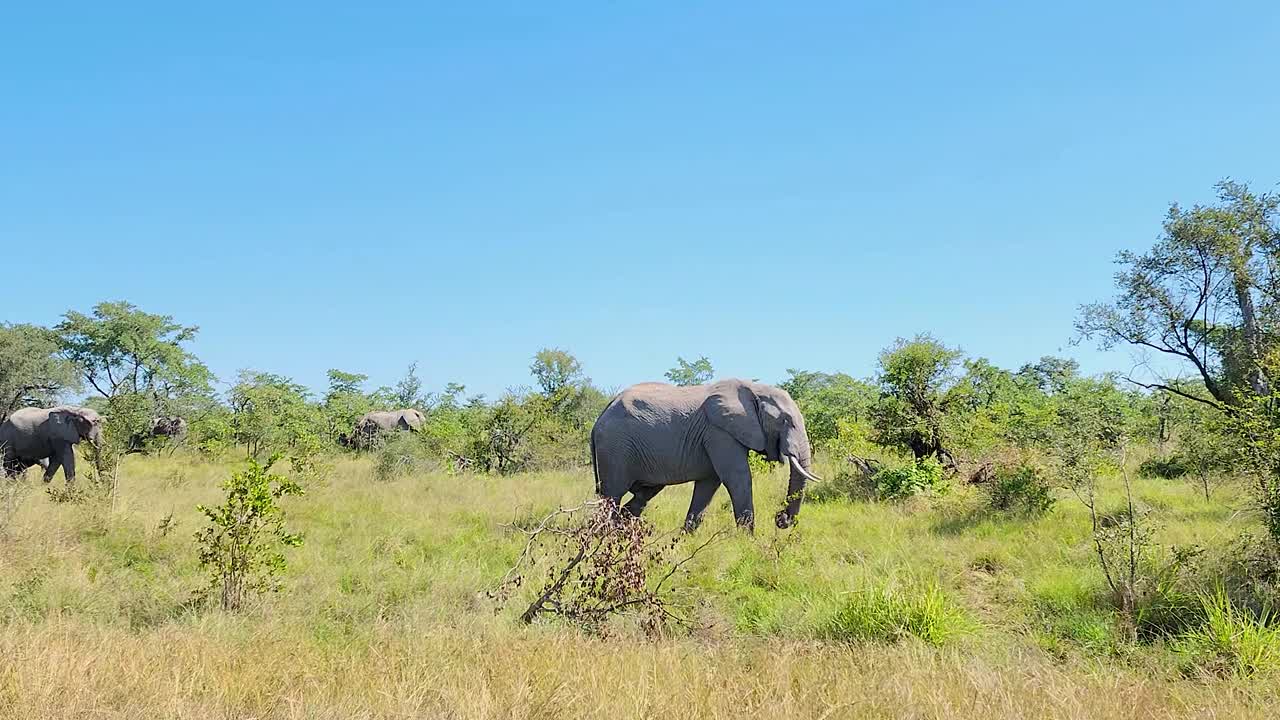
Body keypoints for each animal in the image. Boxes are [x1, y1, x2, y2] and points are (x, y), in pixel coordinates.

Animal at [588, 379, 819, 530]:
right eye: (785, 420)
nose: (781, 519)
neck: (754, 389)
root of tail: (599, 419)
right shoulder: (719, 432)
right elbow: (737, 477)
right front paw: (748, 543)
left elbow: (709, 484)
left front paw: (685, 539)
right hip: (615, 449)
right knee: (612, 495)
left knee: (640, 497)